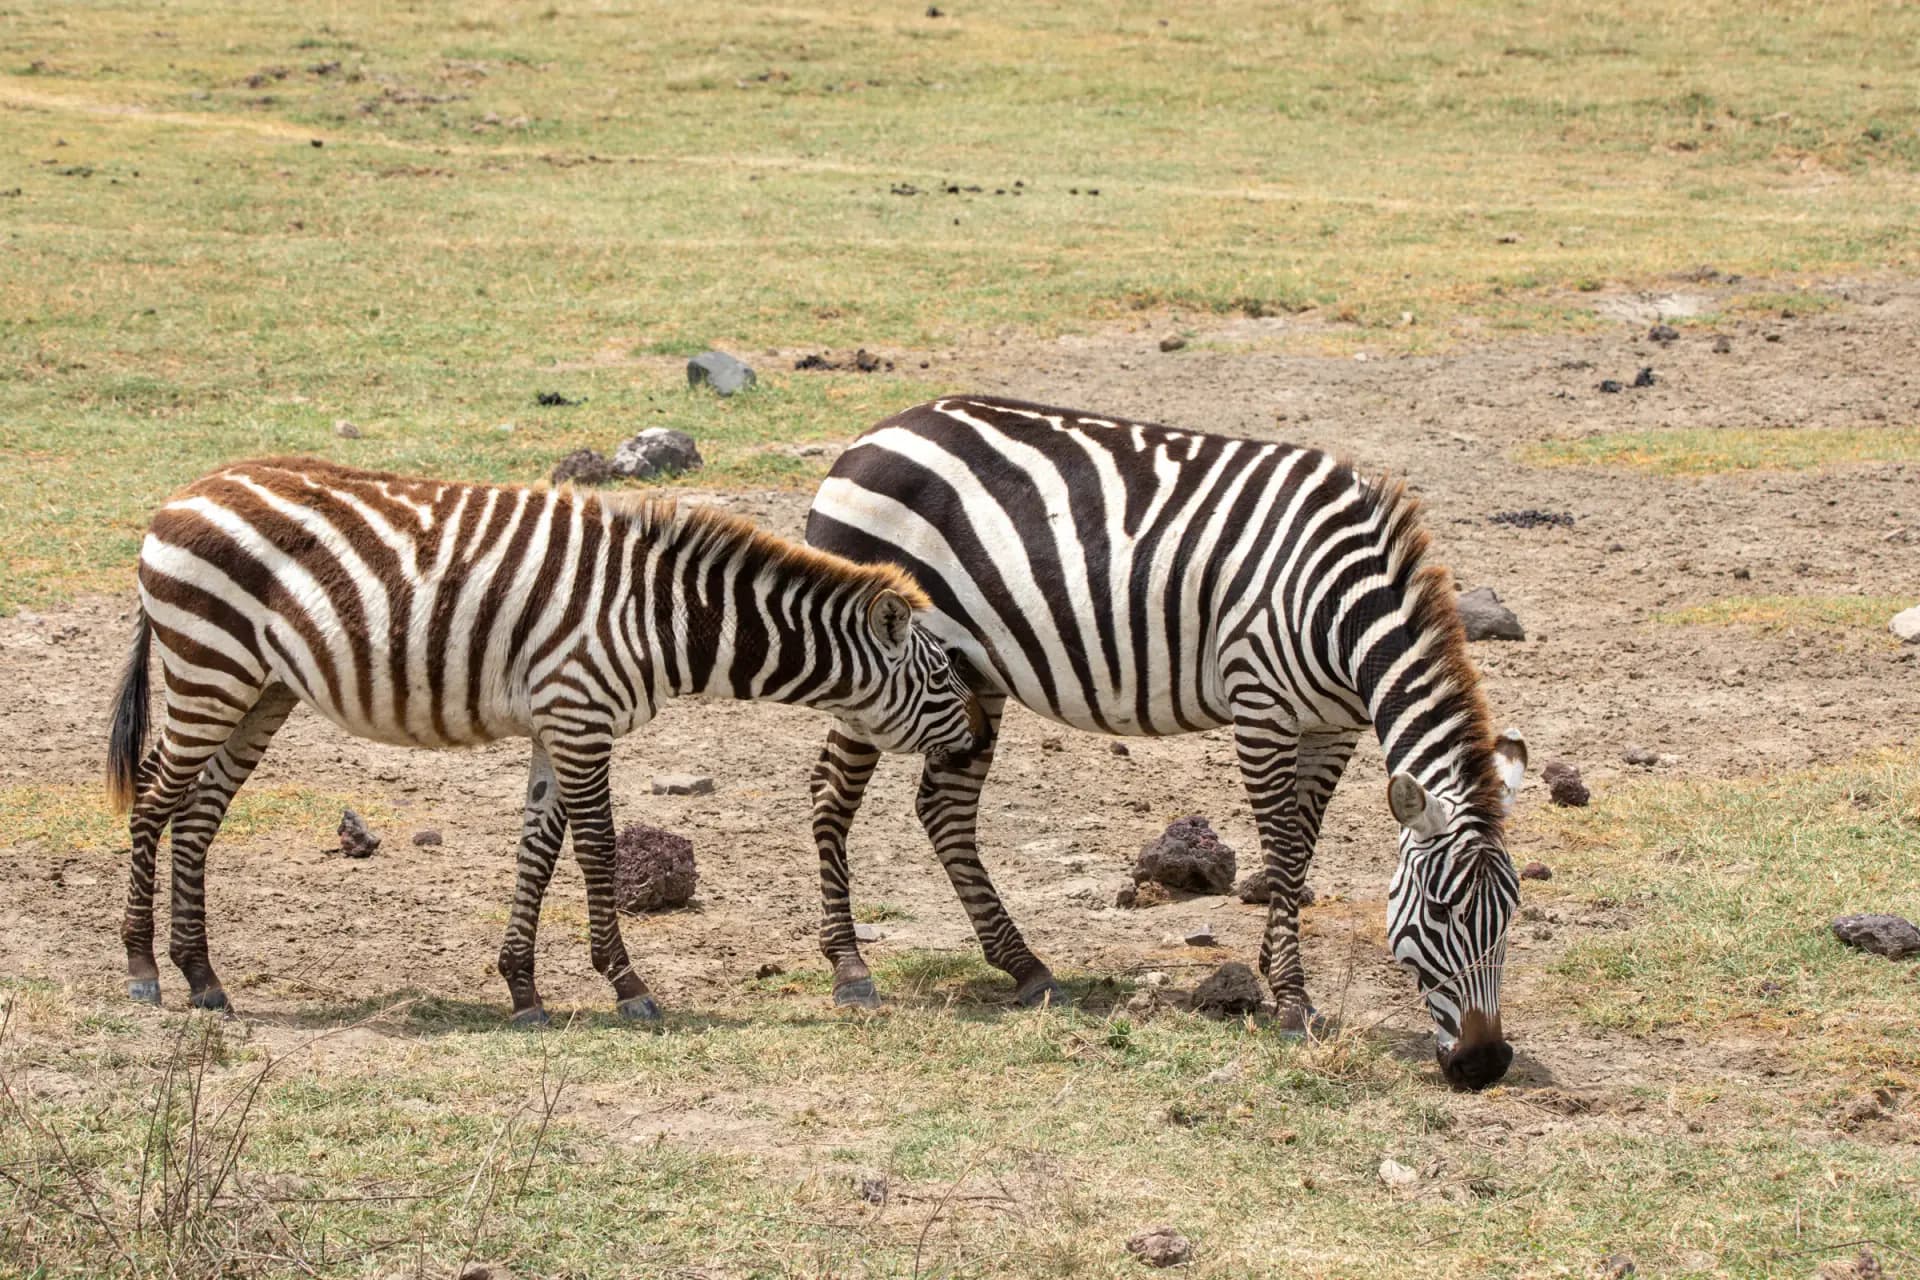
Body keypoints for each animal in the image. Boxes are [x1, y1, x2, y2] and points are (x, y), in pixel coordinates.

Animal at [106, 456, 985, 1023]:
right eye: (944, 675)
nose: (977, 744)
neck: (665, 616)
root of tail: (182, 495)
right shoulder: (579, 712)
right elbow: (595, 848)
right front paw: (628, 987)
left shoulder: (555, 722)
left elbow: (538, 848)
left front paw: (522, 990)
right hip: (209, 667)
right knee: (153, 799)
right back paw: (144, 971)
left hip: (262, 687)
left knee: (199, 812)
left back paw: (204, 978)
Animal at [804, 396, 1530, 1089]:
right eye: (1439, 912)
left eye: (1510, 916)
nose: (1485, 1065)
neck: (1340, 610)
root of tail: (876, 432)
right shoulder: (1260, 707)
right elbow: (1283, 847)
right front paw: (1292, 1001)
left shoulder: (1334, 727)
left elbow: (1300, 850)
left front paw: (1273, 967)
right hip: (875, 665)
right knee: (832, 793)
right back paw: (850, 968)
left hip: (970, 673)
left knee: (945, 808)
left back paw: (1024, 965)